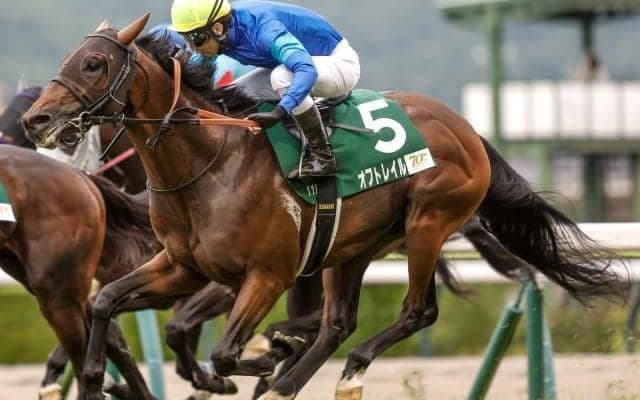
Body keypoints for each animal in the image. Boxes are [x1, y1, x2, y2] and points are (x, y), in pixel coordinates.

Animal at [22, 15, 627, 400]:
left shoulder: (266, 275)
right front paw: (94, 377)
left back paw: (325, 371)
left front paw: (264, 359)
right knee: (339, 322)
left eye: (94, 64)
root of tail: (466, 127)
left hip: (427, 224)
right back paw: (294, 378)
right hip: (354, 246)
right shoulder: (182, 266)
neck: (210, 163)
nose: (36, 120)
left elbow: (225, 352)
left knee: (416, 312)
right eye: (69, 59)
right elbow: (108, 304)